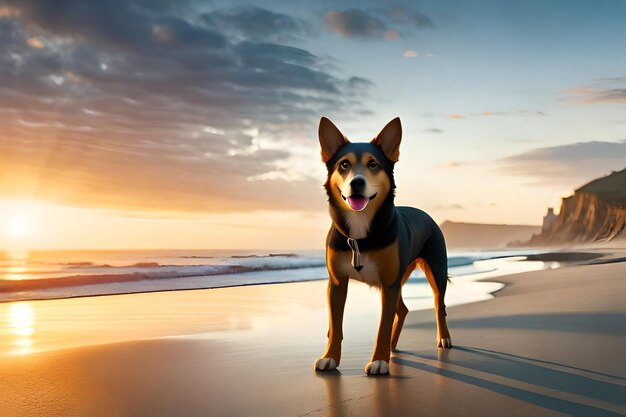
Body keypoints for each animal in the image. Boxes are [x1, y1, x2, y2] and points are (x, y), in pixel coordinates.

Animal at [314, 115, 450, 376]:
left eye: (373, 164)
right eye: (344, 165)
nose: (357, 182)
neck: (361, 232)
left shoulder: (389, 283)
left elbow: (382, 326)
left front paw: (378, 361)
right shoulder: (337, 283)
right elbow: (336, 325)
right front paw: (329, 357)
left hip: (435, 269)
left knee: (439, 305)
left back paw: (443, 338)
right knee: (403, 309)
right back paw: (392, 346)